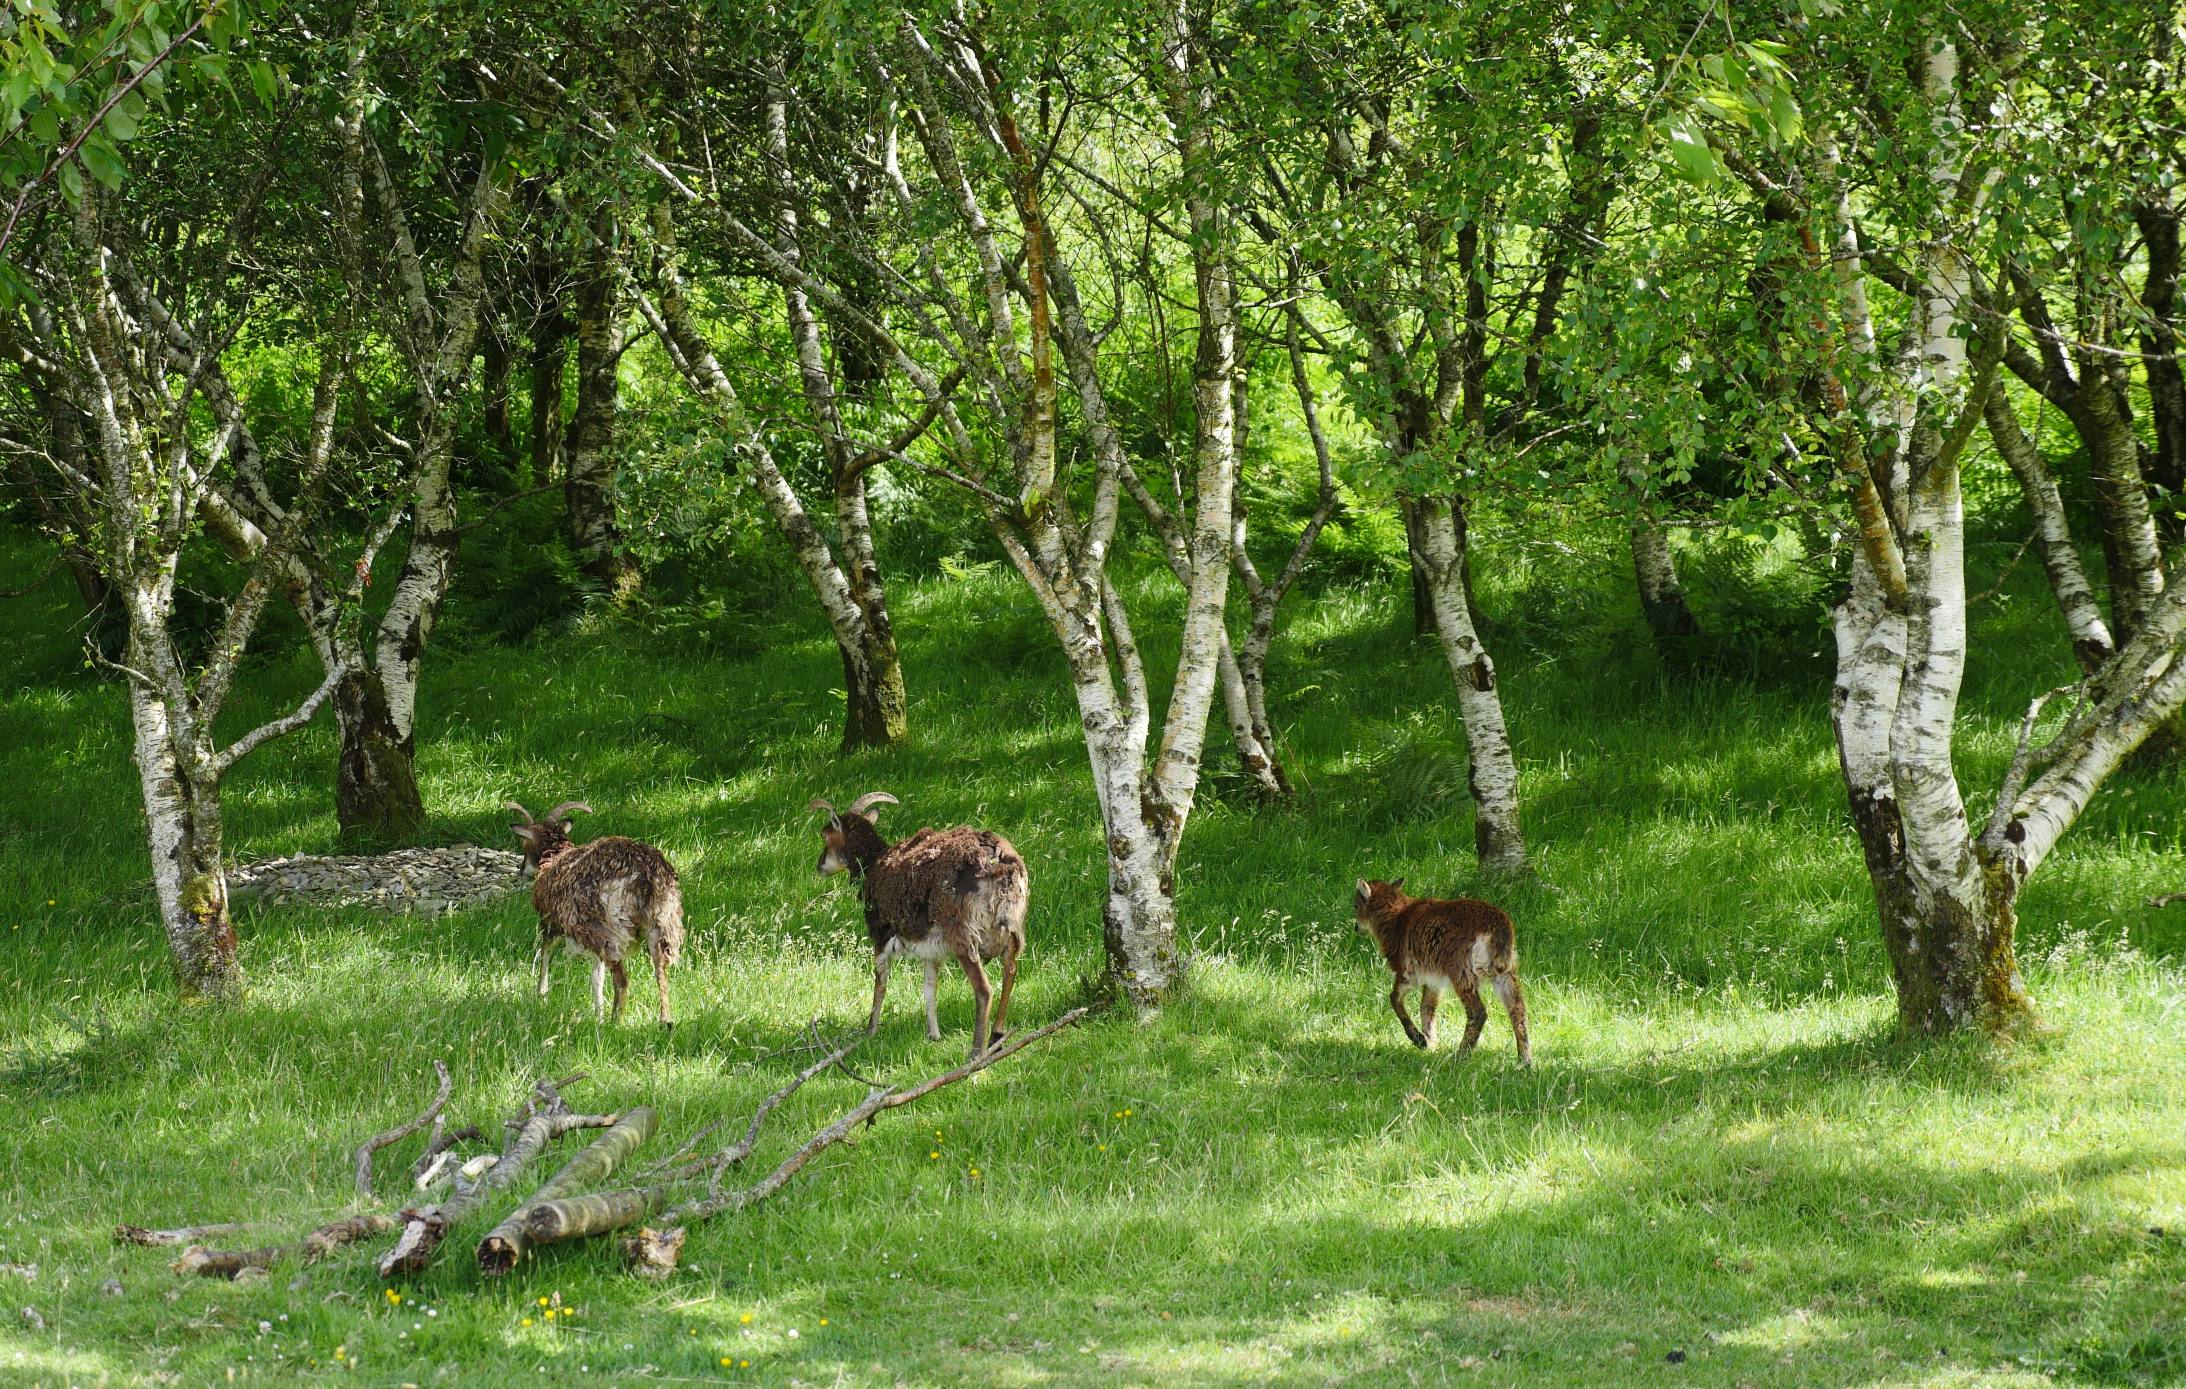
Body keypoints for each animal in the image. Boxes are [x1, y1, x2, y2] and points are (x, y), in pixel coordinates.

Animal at [506, 800, 684, 1027]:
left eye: (524, 845)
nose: (521, 871)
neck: (554, 858)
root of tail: (646, 877)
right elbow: (597, 977)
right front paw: (597, 1014)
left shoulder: (551, 921)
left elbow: (545, 953)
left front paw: (541, 994)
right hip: (662, 923)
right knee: (660, 969)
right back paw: (665, 1021)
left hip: (607, 930)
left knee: (622, 978)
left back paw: (615, 1022)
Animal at [810, 790, 1028, 1059]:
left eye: (825, 835)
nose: (820, 866)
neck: (874, 863)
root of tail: (1001, 866)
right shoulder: (931, 949)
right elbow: (929, 986)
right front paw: (933, 1035)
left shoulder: (881, 933)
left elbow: (881, 982)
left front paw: (870, 1031)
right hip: (1012, 929)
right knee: (1010, 970)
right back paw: (996, 1035)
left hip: (964, 937)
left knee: (984, 989)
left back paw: (976, 1052)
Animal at [1353, 878, 1531, 1065]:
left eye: (1356, 905)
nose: (1356, 928)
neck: (1397, 919)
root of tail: (1499, 929)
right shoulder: (1434, 980)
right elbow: (1427, 1007)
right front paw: (1431, 1044)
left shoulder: (1408, 971)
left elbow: (1394, 998)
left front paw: (1419, 1040)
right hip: (1506, 973)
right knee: (1518, 1009)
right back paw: (1525, 1062)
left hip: (1461, 971)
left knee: (1478, 1012)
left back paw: (1460, 1056)